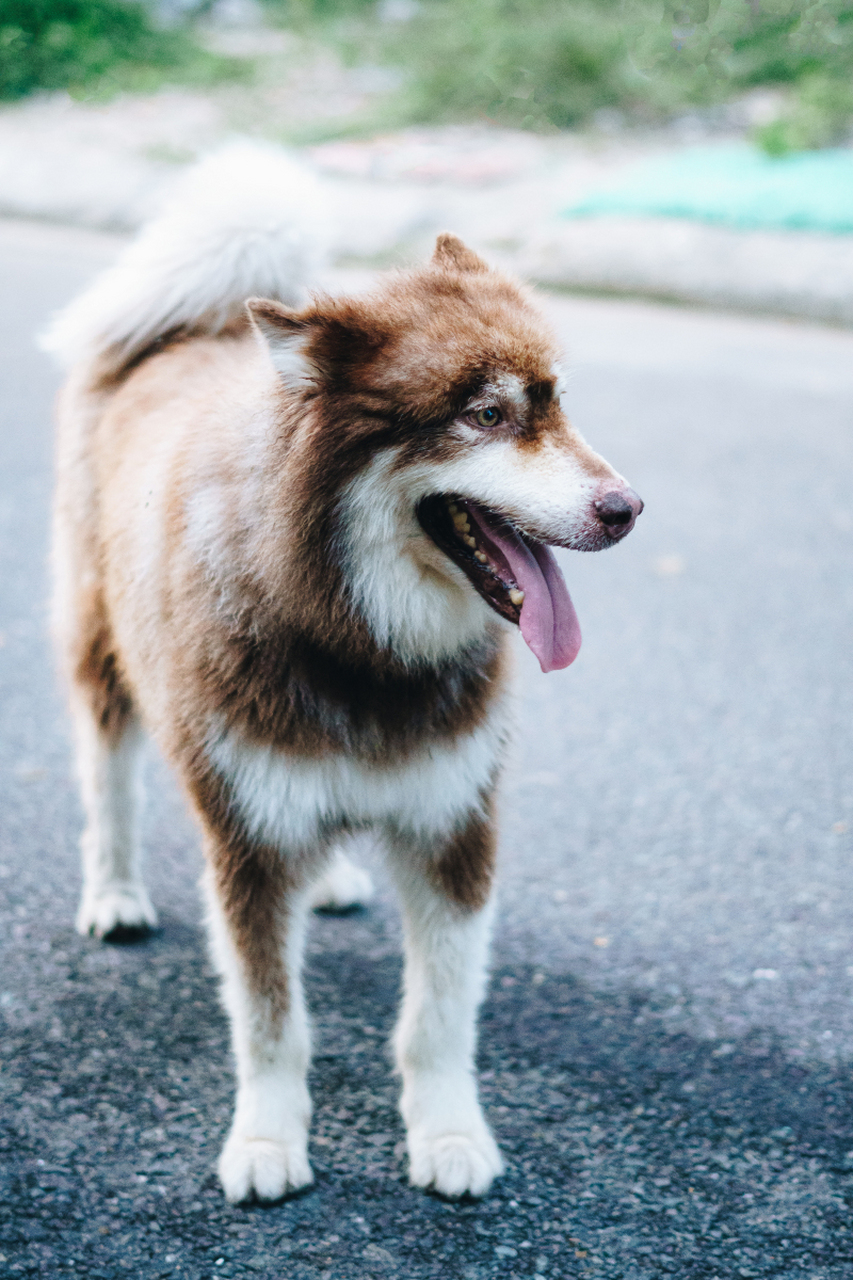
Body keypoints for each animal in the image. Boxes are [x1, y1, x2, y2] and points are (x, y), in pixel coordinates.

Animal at [41, 145, 637, 1203]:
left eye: (557, 400)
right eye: (486, 414)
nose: (626, 508)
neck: (361, 646)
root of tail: (188, 328)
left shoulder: (452, 827)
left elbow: (438, 1018)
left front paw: (448, 1135)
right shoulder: (247, 846)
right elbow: (271, 1022)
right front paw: (268, 1141)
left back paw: (332, 882)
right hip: (100, 655)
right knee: (107, 778)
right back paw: (112, 893)